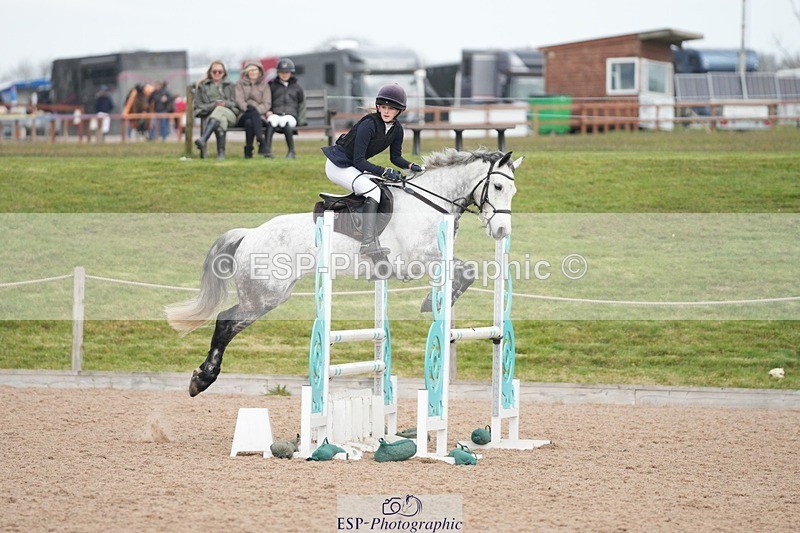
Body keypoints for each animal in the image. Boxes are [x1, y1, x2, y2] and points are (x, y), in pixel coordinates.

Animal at [166, 148, 524, 396]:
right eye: (497, 186)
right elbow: (466, 269)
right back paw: (202, 379)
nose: (503, 231)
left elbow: (467, 270)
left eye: (512, 191)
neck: (427, 203)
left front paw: (440, 300)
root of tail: (249, 234)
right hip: (265, 296)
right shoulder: (417, 261)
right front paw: (431, 302)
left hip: (267, 295)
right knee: (226, 322)